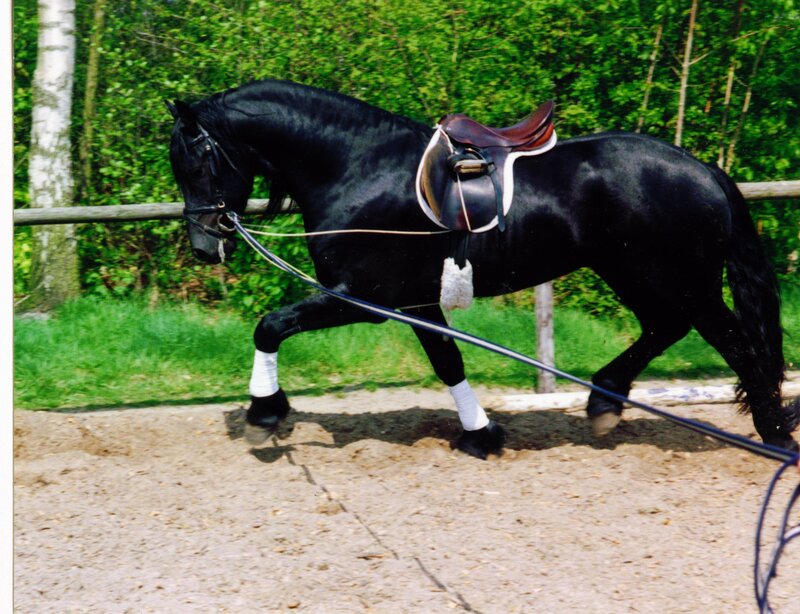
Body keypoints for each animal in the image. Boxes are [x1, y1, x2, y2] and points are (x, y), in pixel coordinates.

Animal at [167, 79, 799, 459]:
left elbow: (269, 326)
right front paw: (483, 433)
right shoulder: (416, 301)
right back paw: (607, 402)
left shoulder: (363, 298)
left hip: (675, 279)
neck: (358, 167)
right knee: (668, 329)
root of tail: (702, 169)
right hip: (640, 275)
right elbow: (447, 362)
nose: (204, 245)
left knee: (731, 343)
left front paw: (264, 412)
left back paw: (771, 436)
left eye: (195, 159)